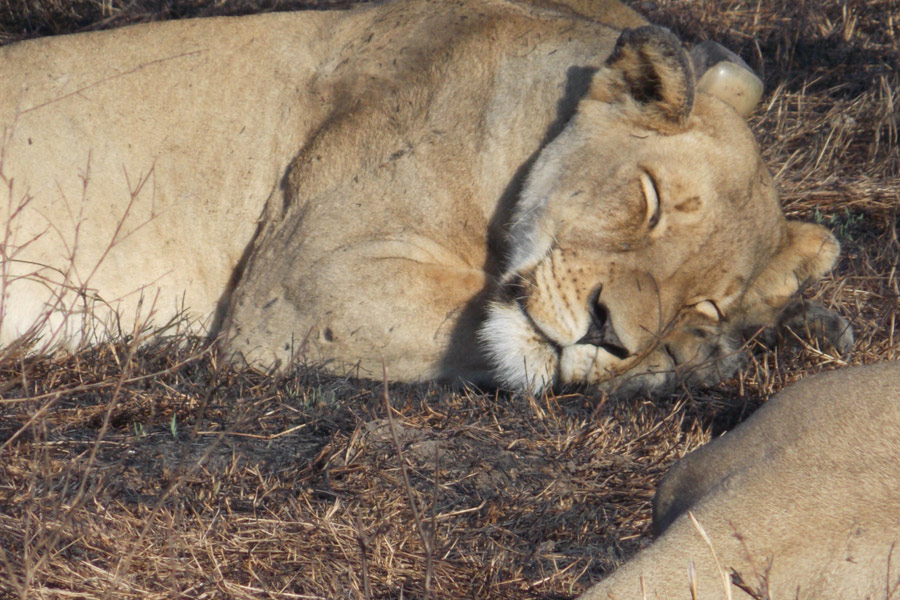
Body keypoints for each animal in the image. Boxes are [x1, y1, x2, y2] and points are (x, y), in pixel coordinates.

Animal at [0, 0, 852, 392]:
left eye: (704, 297)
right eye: (648, 201)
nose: (609, 331)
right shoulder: (304, 289)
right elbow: (478, 329)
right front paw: (688, 358)